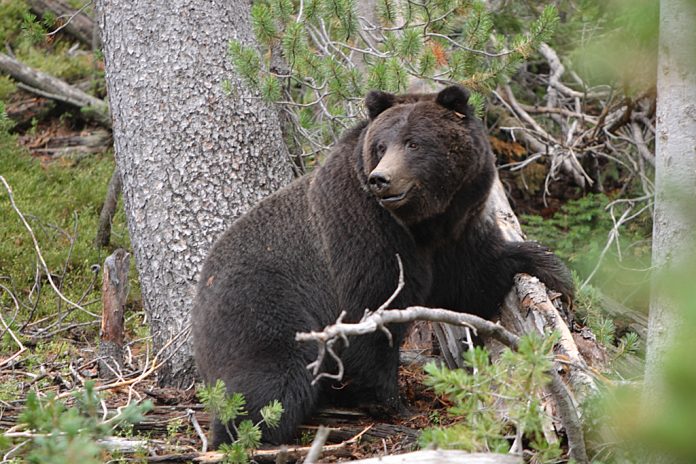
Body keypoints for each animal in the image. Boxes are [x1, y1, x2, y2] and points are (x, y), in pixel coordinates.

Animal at [192, 85, 573, 447]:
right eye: (380, 146)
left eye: (414, 143)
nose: (381, 179)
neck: (423, 224)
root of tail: (198, 299)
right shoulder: (366, 232)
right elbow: (372, 313)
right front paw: (392, 403)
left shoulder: (456, 233)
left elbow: (473, 282)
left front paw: (550, 267)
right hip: (261, 304)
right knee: (274, 377)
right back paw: (246, 435)